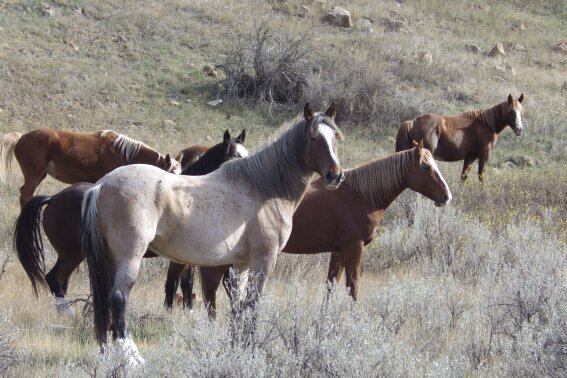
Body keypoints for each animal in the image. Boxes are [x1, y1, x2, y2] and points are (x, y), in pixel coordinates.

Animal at [0, 127, 182, 207]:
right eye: (170, 173)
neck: (122, 152)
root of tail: (21, 137)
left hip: (39, 175)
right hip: (34, 175)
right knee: (26, 195)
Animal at [12, 130, 248, 314]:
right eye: (233, 156)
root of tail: (53, 198)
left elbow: (183, 283)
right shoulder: (182, 258)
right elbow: (176, 284)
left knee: (61, 282)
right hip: (72, 254)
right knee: (53, 279)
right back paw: (69, 313)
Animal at [81, 103, 344, 364]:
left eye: (336, 137)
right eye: (313, 137)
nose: (336, 175)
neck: (264, 188)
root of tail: (101, 185)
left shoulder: (241, 265)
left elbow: (238, 306)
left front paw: (236, 350)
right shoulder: (264, 260)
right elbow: (253, 305)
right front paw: (250, 352)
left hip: (110, 259)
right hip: (129, 257)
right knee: (118, 298)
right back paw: (132, 358)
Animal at [179, 140, 452, 318]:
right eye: (426, 167)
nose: (446, 196)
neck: (360, 194)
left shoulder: (338, 251)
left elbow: (331, 286)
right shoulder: (354, 248)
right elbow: (353, 287)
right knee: (211, 290)